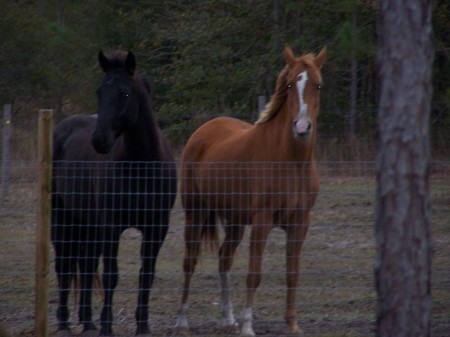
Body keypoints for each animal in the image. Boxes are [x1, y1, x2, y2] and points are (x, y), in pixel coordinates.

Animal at [51, 50, 177, 336]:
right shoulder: (111, 224)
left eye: (125, 93)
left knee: (86, 265)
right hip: (62, 216)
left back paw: (88, 322)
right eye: (99, 92)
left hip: (88, 223)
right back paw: (64, 322)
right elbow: (111, 275)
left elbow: (146, 274)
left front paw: (143, 326)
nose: (100, 141)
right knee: (64, 264)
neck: (142, 167)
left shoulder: (157, 227)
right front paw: (108, 326)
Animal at [176, 45, 326, 336]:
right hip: (196, 213)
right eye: (289, 84)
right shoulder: (262, 221)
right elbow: (254, 274)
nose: (302, 127)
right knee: (190, 261)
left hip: (235, 221)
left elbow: (293, 273)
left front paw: (292, 324)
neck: (291, 161)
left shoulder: (300, 222)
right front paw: (247, 326)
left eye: (318, 85)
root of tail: (202, 131)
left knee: (224, 259)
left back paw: (227, 317)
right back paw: (183, 320)